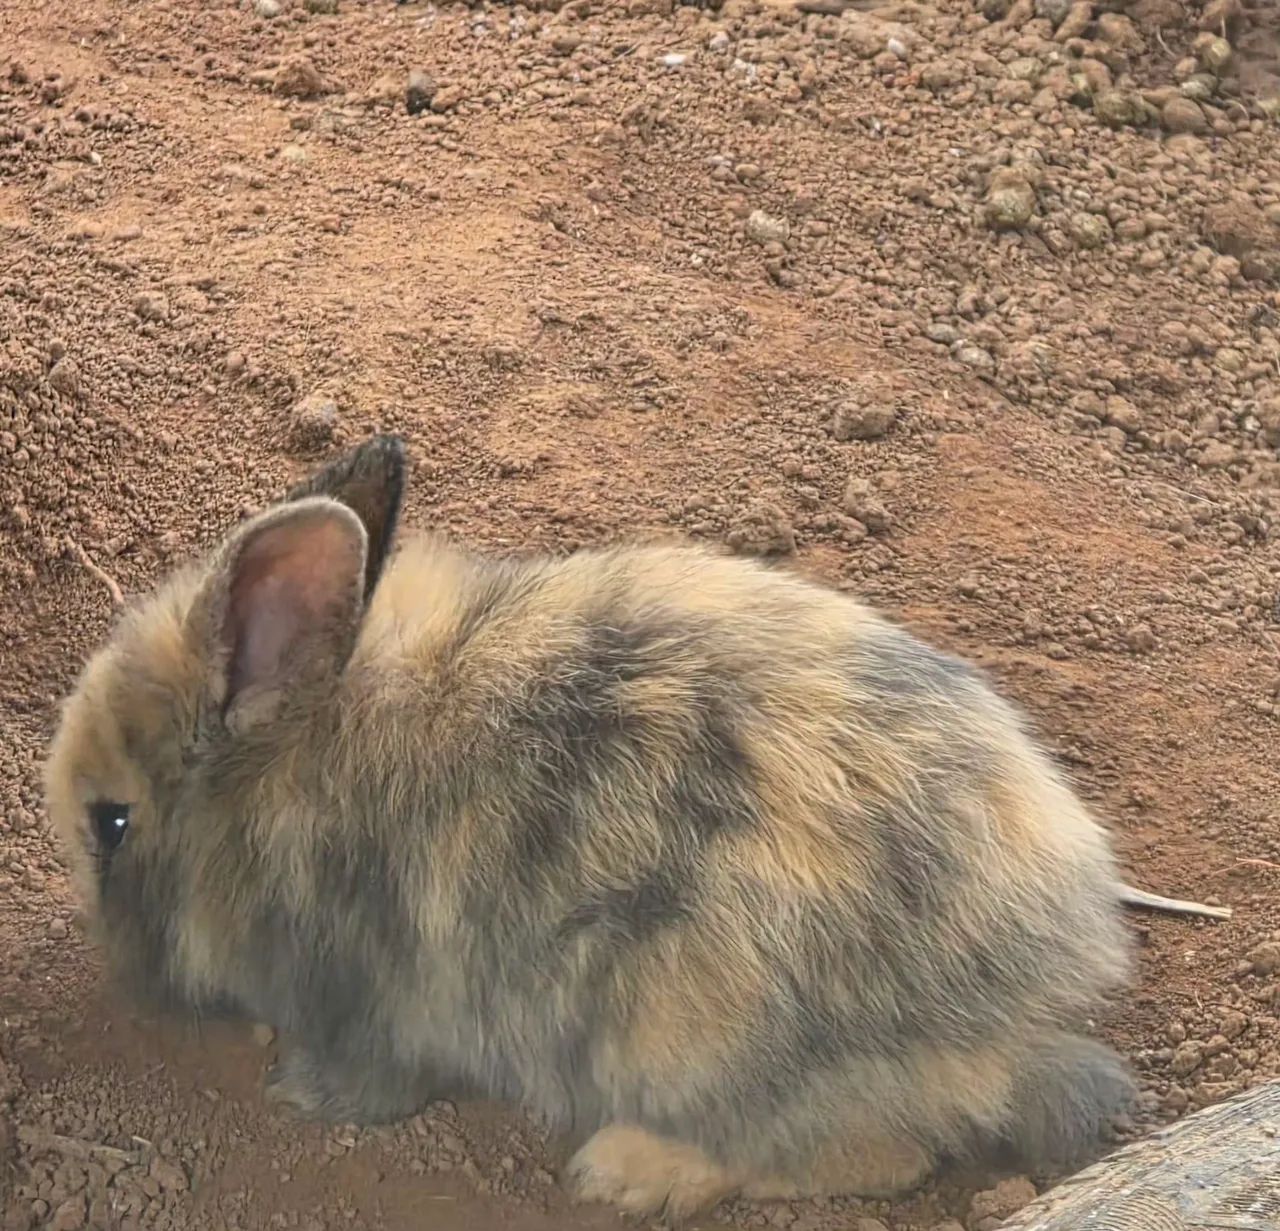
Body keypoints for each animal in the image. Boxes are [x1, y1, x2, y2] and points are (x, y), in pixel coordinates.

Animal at [44, 435, 1136, 1221]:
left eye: (113, 822)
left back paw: (625, 1170)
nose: (117, 973)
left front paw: (298, 1093)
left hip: (694, 1044)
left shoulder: (373, 995)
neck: (280, 768)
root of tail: (1016, 1012)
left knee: (876, 1152)